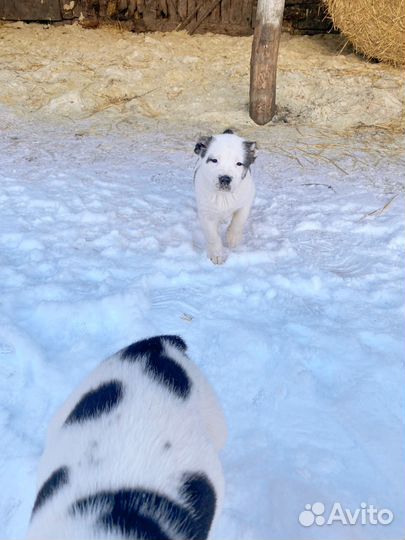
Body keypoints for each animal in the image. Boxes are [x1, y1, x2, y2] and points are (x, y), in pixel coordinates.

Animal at [194, 131, 258, 266]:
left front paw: (232, 238)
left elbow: (239, 220)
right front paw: (216, 255)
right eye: (214, 160)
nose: (225, 178)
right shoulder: (206, 212)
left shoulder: (247, 200)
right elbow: (212, 235)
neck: (223, 196)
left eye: (239, 163)